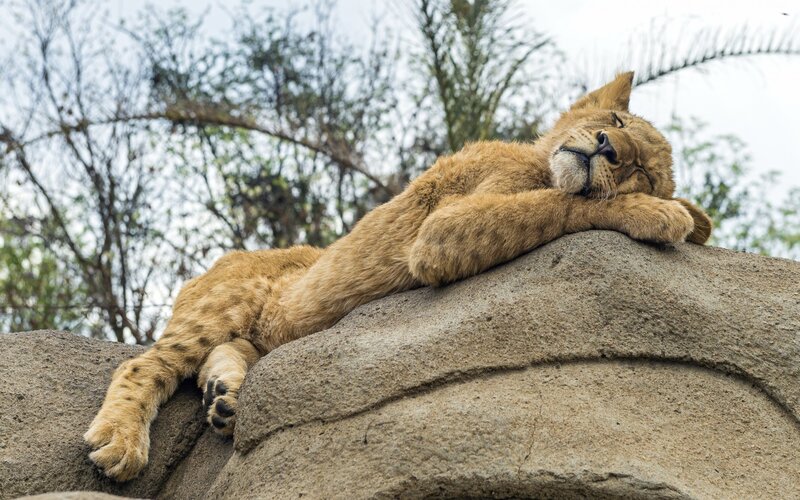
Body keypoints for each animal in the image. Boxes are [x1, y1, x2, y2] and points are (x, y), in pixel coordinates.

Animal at [84, 72, 712, 481]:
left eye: (639, 168)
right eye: (615, 120)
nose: (606, 147)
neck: (535, 159)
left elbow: (566, 199)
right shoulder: (438, 233)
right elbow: (564, 203)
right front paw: (665, 215)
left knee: (235, 353)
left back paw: (227, 397)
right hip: (226, 298)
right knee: (144, 365)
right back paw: (120, 442)